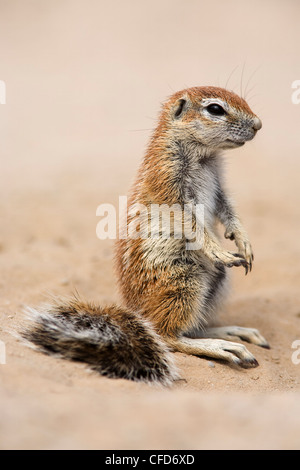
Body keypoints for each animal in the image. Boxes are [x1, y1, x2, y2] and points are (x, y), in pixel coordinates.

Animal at [22, 86, 268, 384]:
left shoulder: (220, 187)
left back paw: (232, 332)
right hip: (182, 281)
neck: (204, 156)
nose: (258, 124)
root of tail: (137, 311)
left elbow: (228, 210)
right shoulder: (168, 182)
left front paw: (244, 242)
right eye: (215, 109)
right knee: (168, 335)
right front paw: (217, 248)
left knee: (189, 327)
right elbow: (190, 222)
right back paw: (222, 346)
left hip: (217, 282)